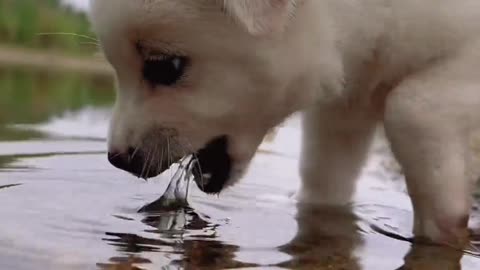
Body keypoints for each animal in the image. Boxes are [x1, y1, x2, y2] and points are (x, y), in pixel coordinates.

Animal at [89, 0, 480, 245]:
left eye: (166, 66)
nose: (116, 159)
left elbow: (410, 108)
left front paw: (444, 224)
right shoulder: (346, 103)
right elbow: (323, 180)